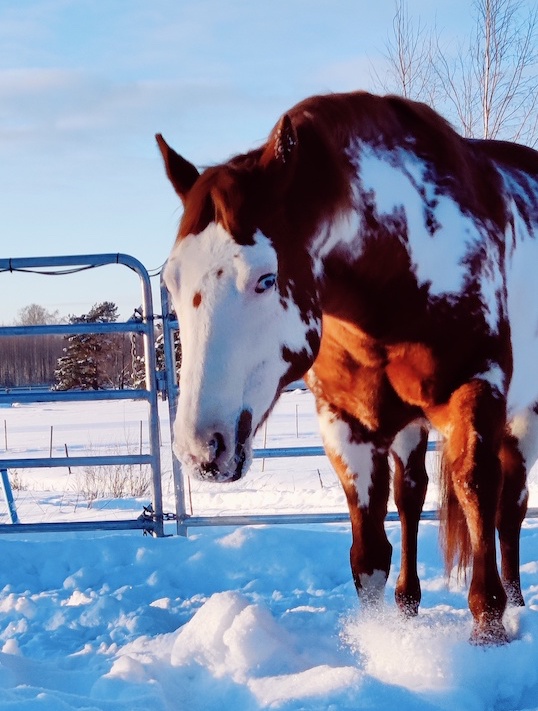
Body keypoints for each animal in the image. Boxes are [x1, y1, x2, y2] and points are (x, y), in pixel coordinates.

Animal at [157, 90, 536, 644]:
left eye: (266, 278)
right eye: (170, 281)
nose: (201, 448)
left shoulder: (476, 395)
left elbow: (477, 494)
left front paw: (489, 630)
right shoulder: (347, 424)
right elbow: (369, 555)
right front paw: (383, 639)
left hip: (524, 415)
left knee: (509, 508)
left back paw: (516, 604)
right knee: (412, 496)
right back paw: (409, 603)